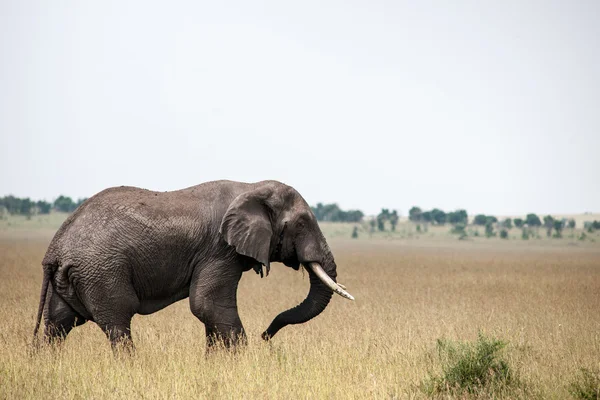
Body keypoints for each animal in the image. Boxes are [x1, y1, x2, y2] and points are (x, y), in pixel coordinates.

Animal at [31, 180, 352, 348]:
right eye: (302, 223)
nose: (266, 336)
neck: (250, 186)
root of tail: (54, 247)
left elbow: (210, 310)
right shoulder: (219, 249)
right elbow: (208, 305)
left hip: (72, 277)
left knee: (57, 325)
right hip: (101, 271)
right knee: (117, 323)